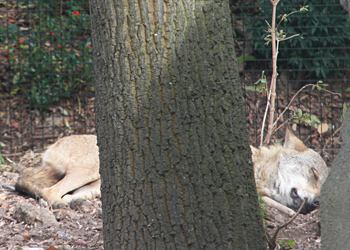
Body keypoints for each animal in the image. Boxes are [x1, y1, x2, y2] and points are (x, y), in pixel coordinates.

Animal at [15, 129, 328, 213]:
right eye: (313, 174)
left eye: (323, 185)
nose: (317, 202)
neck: (259, 170)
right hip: (91, 171)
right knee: (49, 192)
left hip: (95, 186)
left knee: (68, 194)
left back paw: (75, 204)